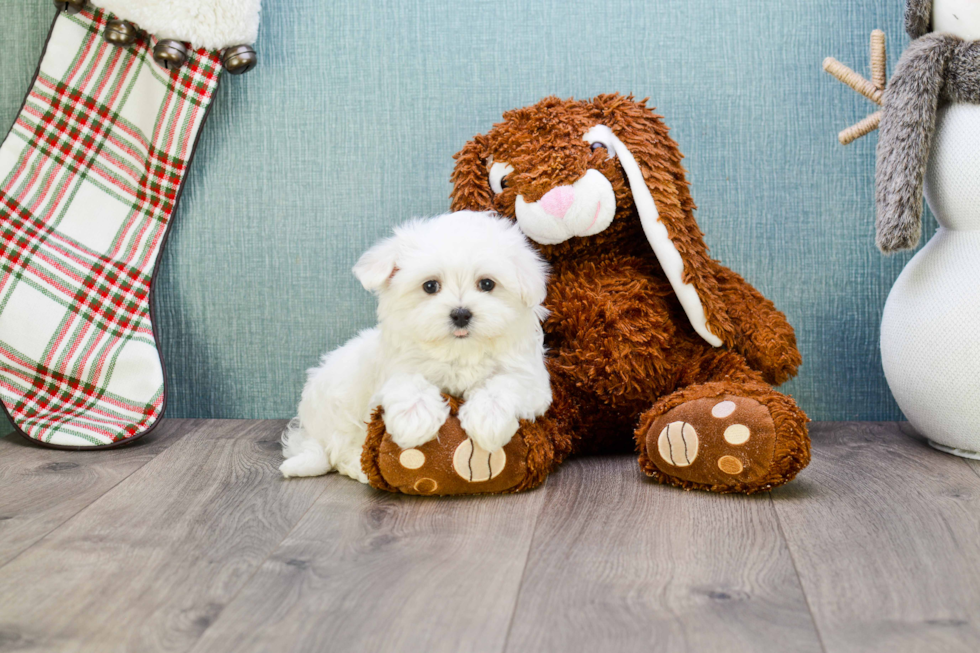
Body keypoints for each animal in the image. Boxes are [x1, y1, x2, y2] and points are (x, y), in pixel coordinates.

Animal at [280, 211, 552, 482]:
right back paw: (360, 467)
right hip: (339, 402)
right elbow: (408, 381)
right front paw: (414, 419)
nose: (461, 314)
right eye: (430, 286)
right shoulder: (396, 368)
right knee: (340, 448)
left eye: (487, 284)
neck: (459, 352)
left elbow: (505, 383)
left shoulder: (531, 380)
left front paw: (489, 419)